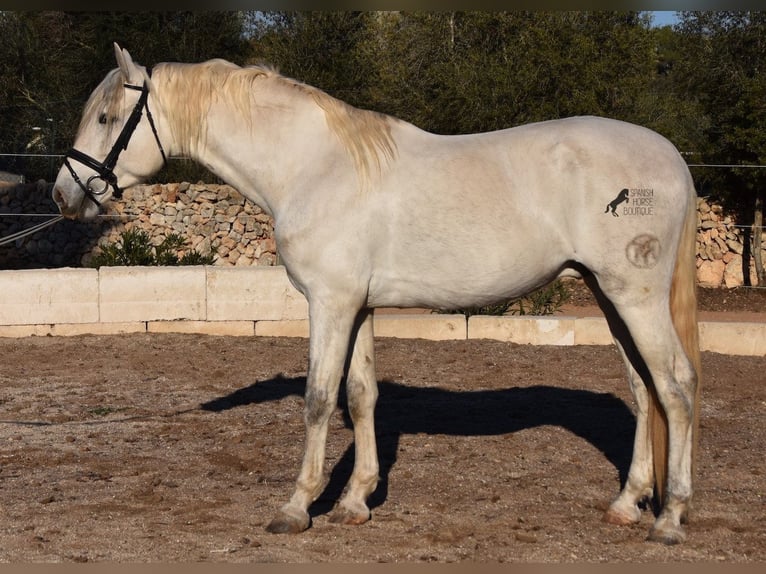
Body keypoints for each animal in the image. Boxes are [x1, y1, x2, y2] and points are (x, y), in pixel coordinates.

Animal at [54, 44, 704, 544]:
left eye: (107, 117)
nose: (64, 194)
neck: (313, 167)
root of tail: (670, 156)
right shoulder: (359, 306)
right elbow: (362, 395)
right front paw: (354, 502)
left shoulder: (330, 303)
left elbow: (319, 398)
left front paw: (297, 507)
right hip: (609, 297)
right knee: (643, 389)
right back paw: (626, 505)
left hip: (634, 297)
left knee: (675, 386)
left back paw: (670, 518)